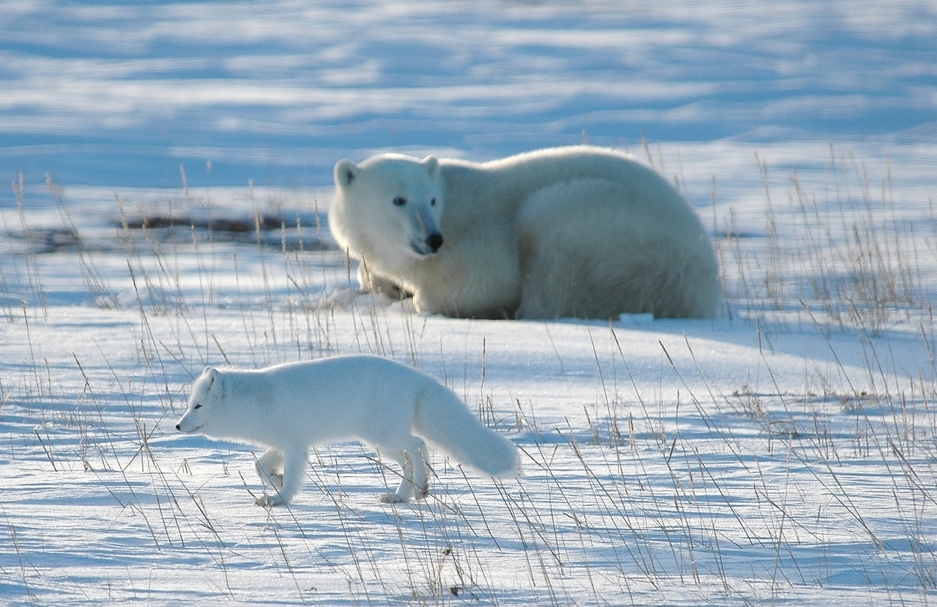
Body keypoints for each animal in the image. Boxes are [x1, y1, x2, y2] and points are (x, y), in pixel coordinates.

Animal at [175, 355, 518, 507]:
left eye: (198, 407)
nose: (178, 425)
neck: (256, 402)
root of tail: (414, 376)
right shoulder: (280, 444)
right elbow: (260, 466)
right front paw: (276, 480)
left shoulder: (296, 445)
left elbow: (291, 478)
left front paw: (280, 498)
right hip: (383, 443)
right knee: (411, 454)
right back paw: (403, 495)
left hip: (382, 437)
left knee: (418, 444)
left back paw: (420, 487)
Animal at [328, 145, 721, 319]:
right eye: (399, 199)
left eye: (432, 199)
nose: (433, 239)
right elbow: (372, 275)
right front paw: (374, 287)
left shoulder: (480, 241)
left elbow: (479, 283)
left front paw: (417, 299)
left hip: (606, 229)